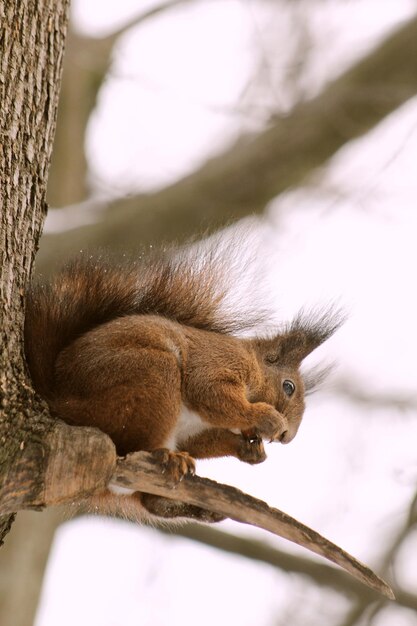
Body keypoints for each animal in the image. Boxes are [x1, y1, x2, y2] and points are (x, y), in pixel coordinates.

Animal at [23, 239, 342, 520]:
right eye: (288, 387)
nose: (287, 436)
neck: (253, 362)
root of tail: (60, 400)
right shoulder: (218, 363)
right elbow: (210, 392)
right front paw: (266, 417)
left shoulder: (193, 430)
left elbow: (204, 441)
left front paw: (250, 449)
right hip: (145, 378)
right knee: (136, 446)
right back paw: (166, 457)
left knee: (150, 500)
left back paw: (192, 507)